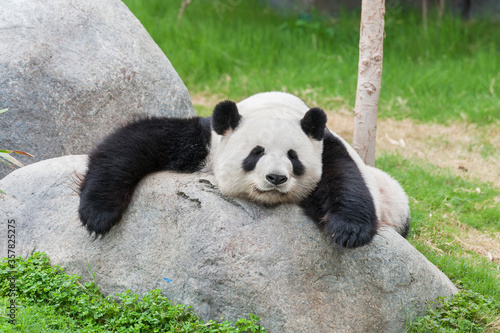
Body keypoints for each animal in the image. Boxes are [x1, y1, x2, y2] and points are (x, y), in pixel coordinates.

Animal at [78, 91, 408, 246]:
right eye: (255, 153)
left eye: (293, 157)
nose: (276, 178)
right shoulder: (205, 141)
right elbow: (135, 142)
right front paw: (98, 214)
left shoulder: (327, 145)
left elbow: (345, 179)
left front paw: (348, 230)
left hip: (394, 199)